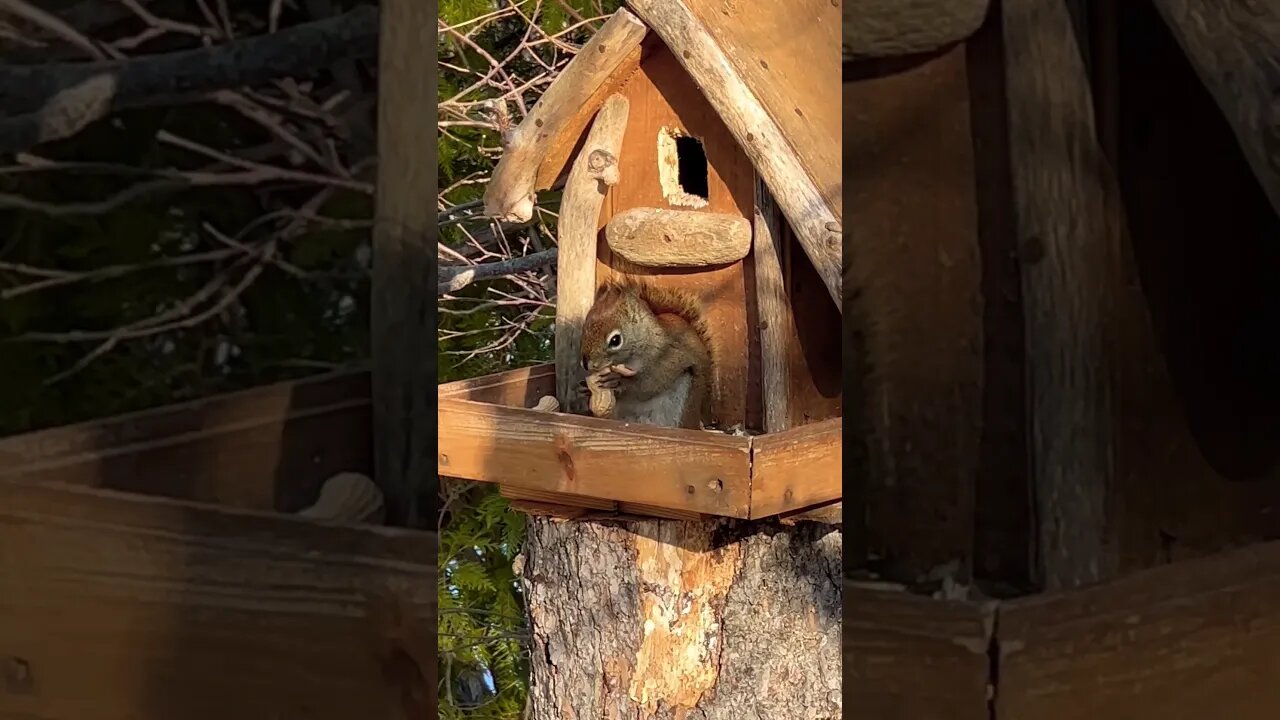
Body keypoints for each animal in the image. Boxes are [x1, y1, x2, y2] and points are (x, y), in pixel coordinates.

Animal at [578, 278, 714, 430]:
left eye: (615, 340)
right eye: (584, 328)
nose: (586, 363)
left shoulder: (668, 357)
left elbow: (648, 384)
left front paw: (618, 380)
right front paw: (585, 389)